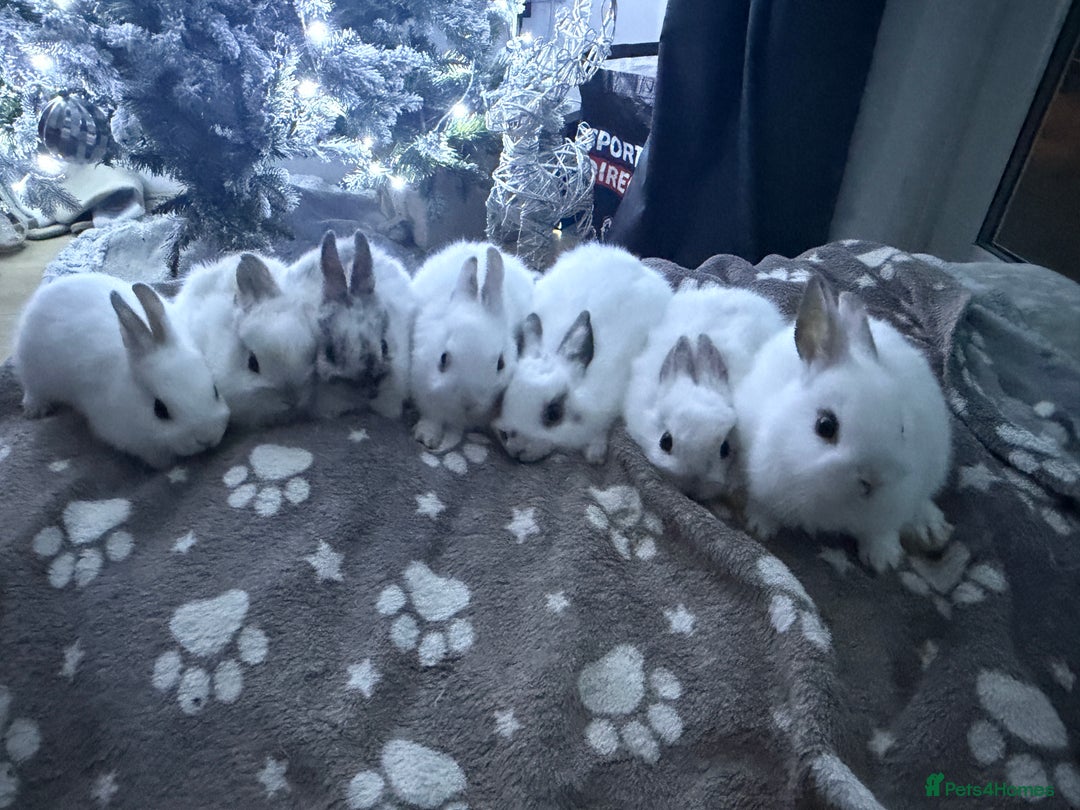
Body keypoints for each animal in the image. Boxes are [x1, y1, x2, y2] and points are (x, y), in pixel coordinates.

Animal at [13, 273, 230, 469]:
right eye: (159, 410)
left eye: (215, 391)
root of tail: (48, 290)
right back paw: (35, 409)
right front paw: (165, 465)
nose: (206, 438)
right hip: (32, 369)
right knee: (32, 388)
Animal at [409, 241, 535, 450]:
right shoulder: (423, 388)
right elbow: (432, 417)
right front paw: (427, 438)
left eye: (501, 364)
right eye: (443, 359)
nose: (470, 403)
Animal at [733, 274, 953, 572]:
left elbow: (881, 532)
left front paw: (885, 561)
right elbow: (762, 505)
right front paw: (760, 526)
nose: (873, 479)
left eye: (902, 429)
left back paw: (930, 528)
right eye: (825, 426)